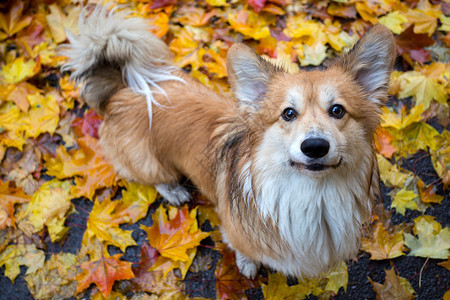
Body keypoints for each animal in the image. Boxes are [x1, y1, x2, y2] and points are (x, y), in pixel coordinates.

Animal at [62, 7, 394, 278]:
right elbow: (244, 252)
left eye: (337, 110)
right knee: (154, 178)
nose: (314, 146)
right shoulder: (236, 235)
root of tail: (123, 90)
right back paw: (174, 190)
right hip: (150, 164)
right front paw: (248, 266)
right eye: (288, 113)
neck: (313, 195)